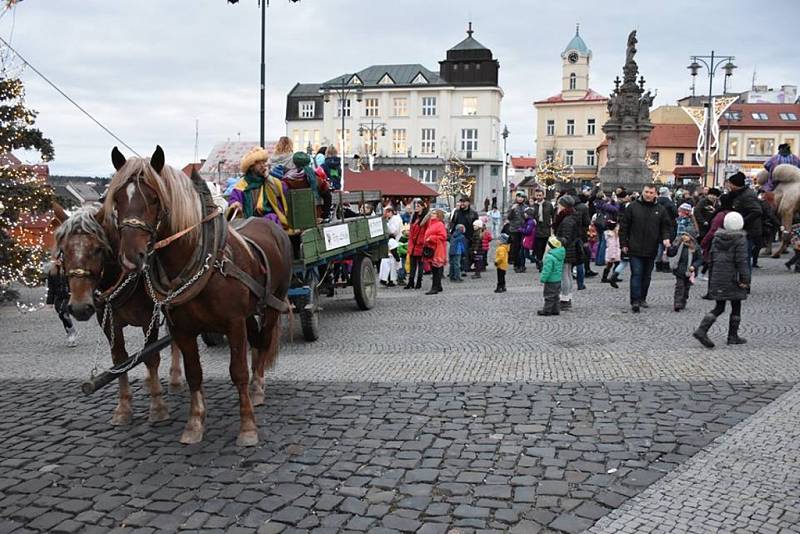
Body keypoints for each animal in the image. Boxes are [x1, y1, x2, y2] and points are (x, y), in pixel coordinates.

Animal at [53, 204, 184, 428]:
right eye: (63, 250)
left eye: (98, 248)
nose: (79, 307)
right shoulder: (109, 323)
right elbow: (119, 361)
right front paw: (123, 408)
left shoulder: (148, 318)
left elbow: (150, 356)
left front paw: (157, 406)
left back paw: (175, 378)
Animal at [106, 147, 292, 448]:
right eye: (118, 199)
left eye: (155, 198)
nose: (131, 257)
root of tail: (271, 225)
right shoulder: (183, 329)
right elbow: (194, 373)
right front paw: (194, 424)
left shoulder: (233, 323)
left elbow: (238, 372)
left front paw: (248, 427)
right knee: (256, 339)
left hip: (274, 301)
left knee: (263, 342)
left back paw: (258, 387)